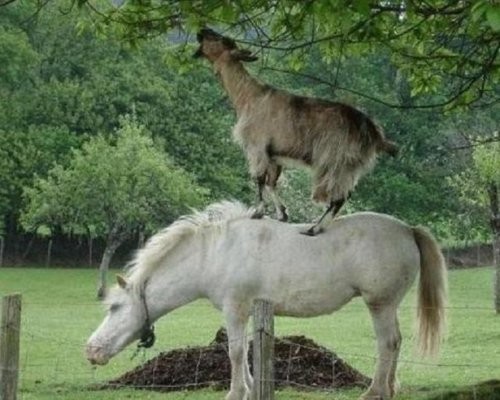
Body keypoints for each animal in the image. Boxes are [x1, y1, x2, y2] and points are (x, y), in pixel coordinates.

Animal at [85, 202, 446, 398]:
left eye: (115, 307)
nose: (91, 350)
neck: (214, 253)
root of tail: (407, 229)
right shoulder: (246, 311)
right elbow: (244, 351)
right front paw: (249, 388)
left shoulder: (234, 309)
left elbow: (234, 351)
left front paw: (235, 392)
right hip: (387, 306)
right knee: (395, 343)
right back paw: (389, 389)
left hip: (379, 304)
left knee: (387, 344)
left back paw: (374, 392)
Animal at [193, 28, 396, 234]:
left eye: (220, 39)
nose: (201, 31)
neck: (249, 96)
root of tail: (375, 135)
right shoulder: (274, 155)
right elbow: (271, 183)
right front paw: (282, 214)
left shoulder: (257, 147)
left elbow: (259, 179)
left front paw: (258, 212)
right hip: (349, 167)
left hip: (336, 162)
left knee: (339, 197)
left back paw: (314, 228)